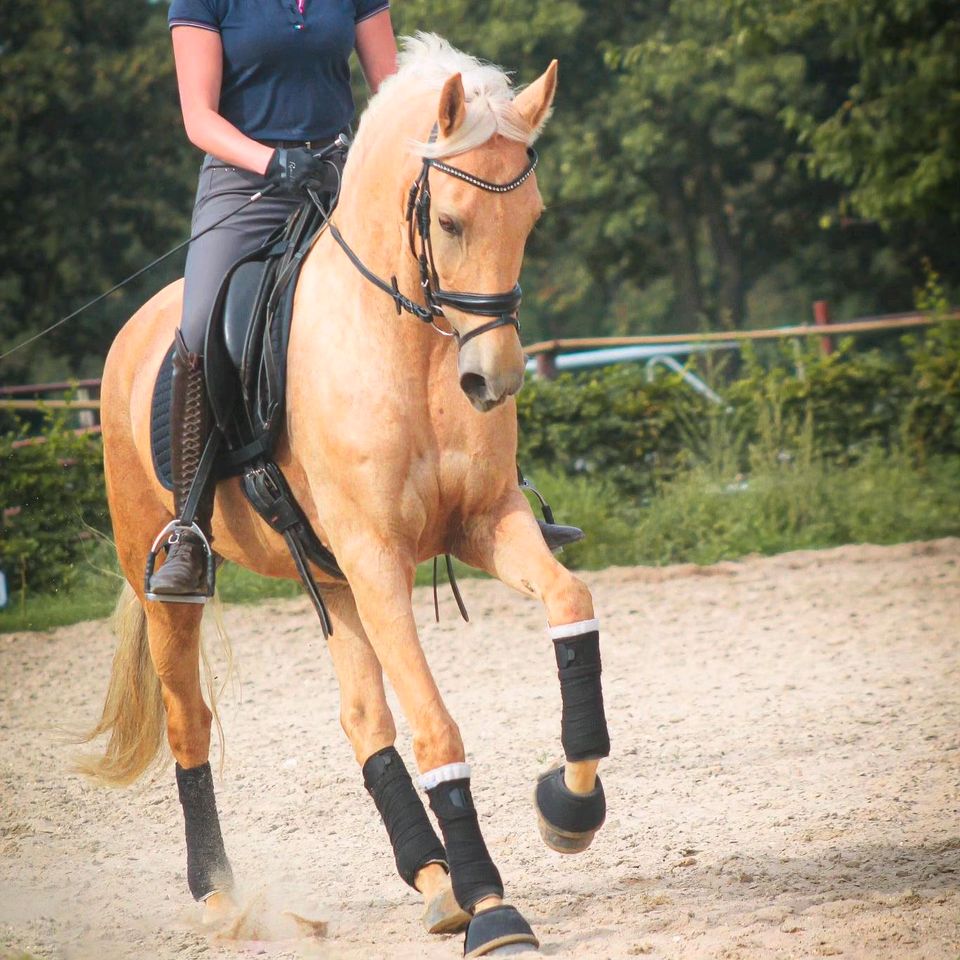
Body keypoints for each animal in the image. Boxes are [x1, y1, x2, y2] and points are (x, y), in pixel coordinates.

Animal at [82, 33, 608, 956]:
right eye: (449, 222)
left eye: (532, 221)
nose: (493, 380)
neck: (410, 347)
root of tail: (136, 331)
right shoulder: (378, 558)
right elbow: (436, 725)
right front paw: (495, 908)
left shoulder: (483, 525)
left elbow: (571, 605)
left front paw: (569, 807)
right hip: (178, 584)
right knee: (189, 723)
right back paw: (221, 898)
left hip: (332, 579)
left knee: (363, 719)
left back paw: (435, 883)